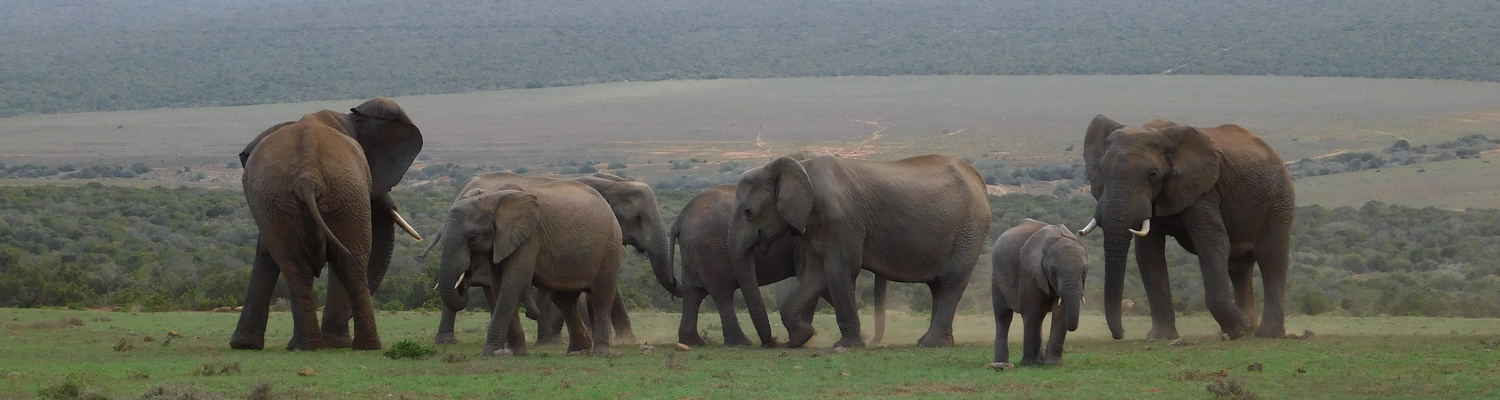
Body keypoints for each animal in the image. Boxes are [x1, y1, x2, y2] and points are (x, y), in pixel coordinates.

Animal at [230, 98, 424, 351]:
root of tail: (307, 173)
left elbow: (266, 252)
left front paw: (244, 345)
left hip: (290, 197)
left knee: (310, 265)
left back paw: (315, 346)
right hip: (335, 194)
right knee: (347, 262)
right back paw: (347, 345)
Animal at [671, 184, 891, 347]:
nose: (774, 341)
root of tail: (679, 219)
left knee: (693, 293)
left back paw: (694, 342)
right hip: (710, 250)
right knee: (722, 293)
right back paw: (741, 343)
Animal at [729, 154, 991, 348]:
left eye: (748, 212)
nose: (773, 342)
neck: (802, 168)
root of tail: (979, 181)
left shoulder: (843, 221)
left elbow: (839, 270)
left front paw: (845, 346)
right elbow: (812, 275)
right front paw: (802, 337)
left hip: (969, 228)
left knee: (950, 280)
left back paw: (933, 344)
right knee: (937, 285)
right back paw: (928, 341)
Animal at [991, 219, 1087, 367]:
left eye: (1084, 271)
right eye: (1052, 271)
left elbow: (1060, 313)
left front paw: (1053, 364)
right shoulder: (1029, 271)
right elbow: (1033, 311)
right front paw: (1030, 365)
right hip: (996, 275)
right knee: (1003, 316)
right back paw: (1002, 363)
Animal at [1079, 115, 1294, 340]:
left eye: (1152, 175)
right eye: (1102, 171)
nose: (1121, 334)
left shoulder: (1203, 191)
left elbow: (1212, 244)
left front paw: (1238, 330)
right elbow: (1148, 254)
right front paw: (1160, 338)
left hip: (1280, 198)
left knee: (1271, 257)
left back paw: (1265, 334)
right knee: (1238, 265)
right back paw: (1249, 328)